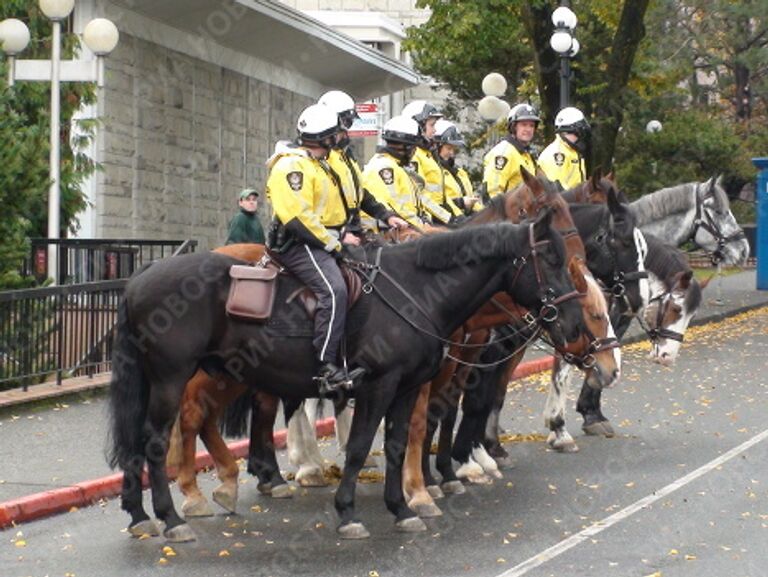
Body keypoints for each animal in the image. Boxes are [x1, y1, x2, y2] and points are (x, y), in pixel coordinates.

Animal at [105, 212, 592, 540]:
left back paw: (141, 514)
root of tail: (144, 273)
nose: (574, 328)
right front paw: (348, 512)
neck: (415, 289)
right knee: (156, 439)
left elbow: (397, 445)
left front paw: (402, 508)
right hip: (173, 378)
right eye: (549, 259)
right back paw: (172, 516)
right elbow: (360, 447)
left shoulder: (408, 387)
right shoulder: (379, 384)